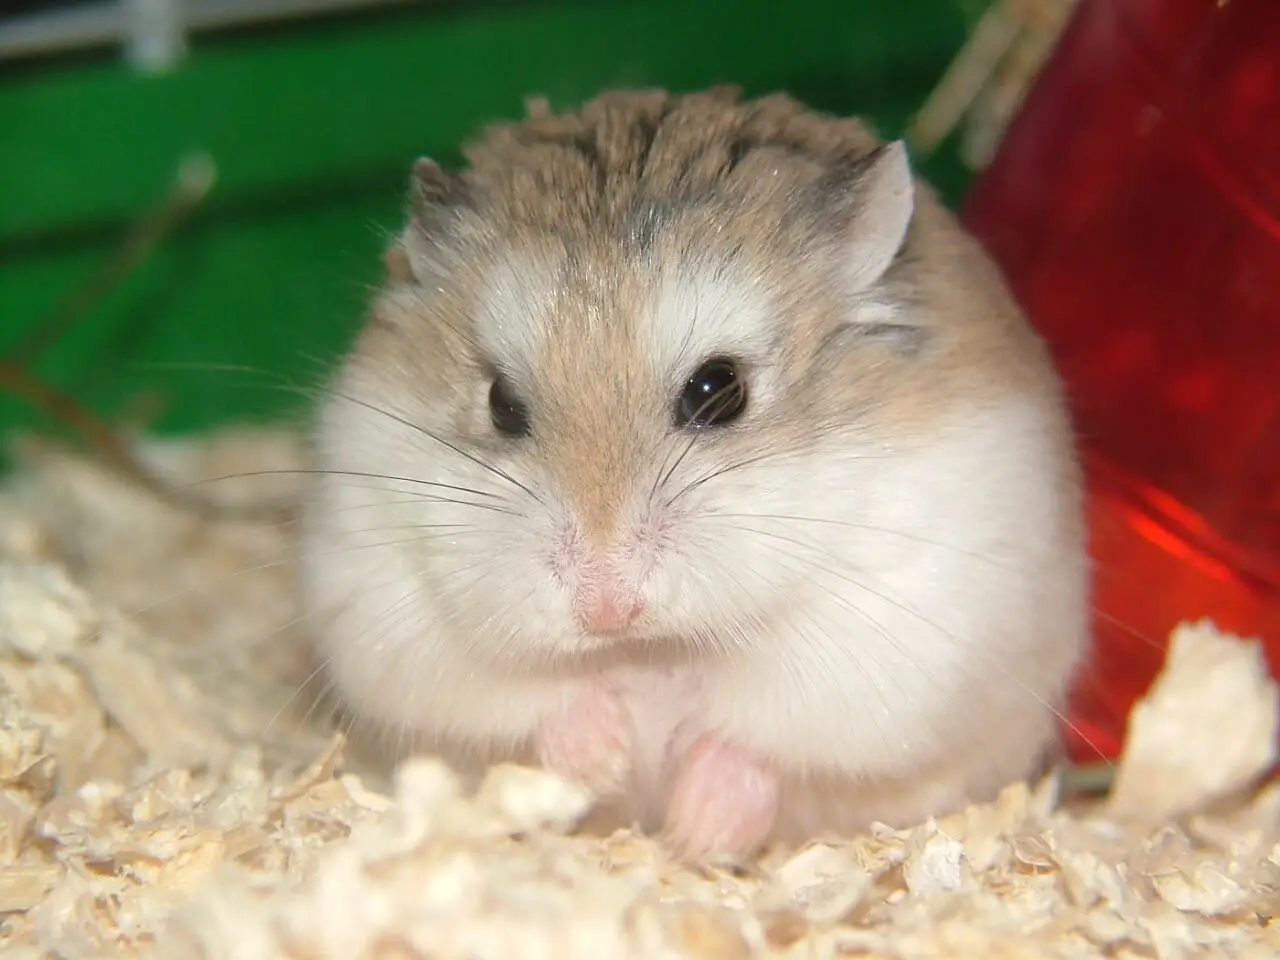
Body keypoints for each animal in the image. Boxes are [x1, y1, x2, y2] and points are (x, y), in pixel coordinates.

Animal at [298, 87, 1089, 861]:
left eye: (719, 390)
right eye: (500, 404)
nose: (604, 610)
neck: (652, 650)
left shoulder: (892, 630)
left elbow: (759, 741)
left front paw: (696, 829)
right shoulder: (392, 608)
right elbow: (534, 703)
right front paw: (602, 763)